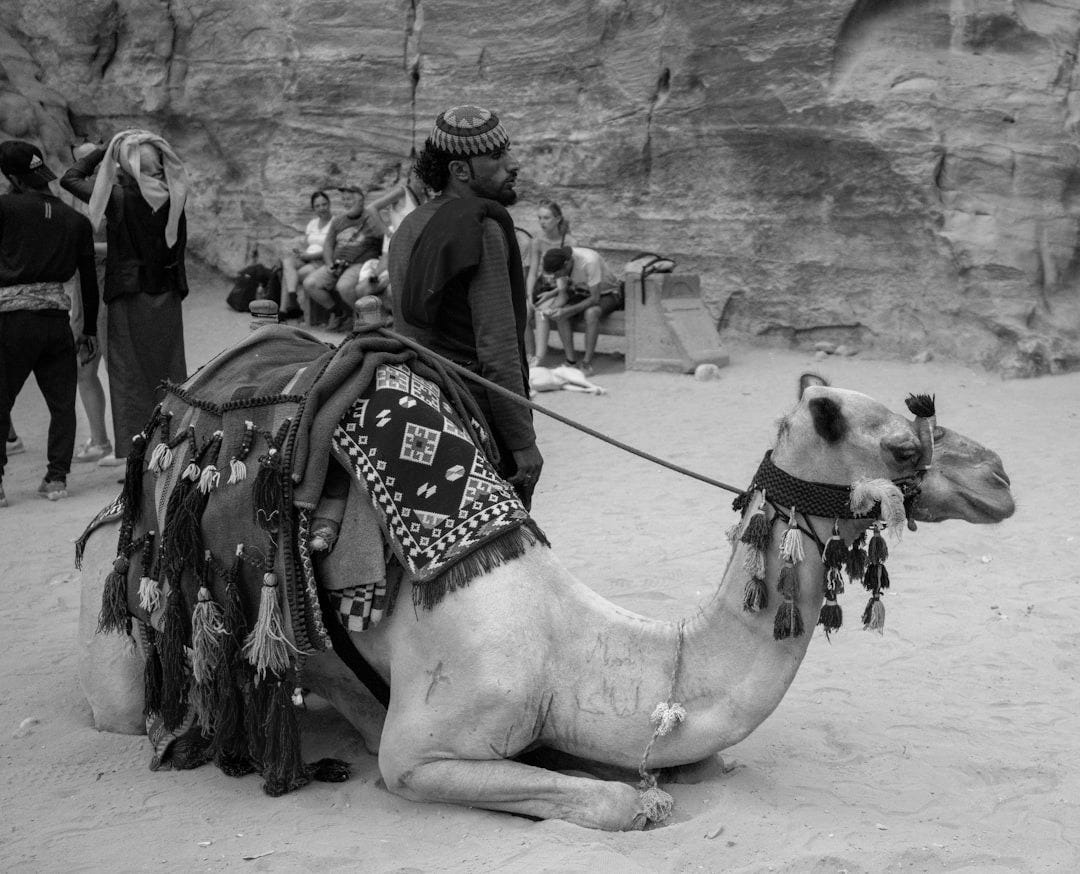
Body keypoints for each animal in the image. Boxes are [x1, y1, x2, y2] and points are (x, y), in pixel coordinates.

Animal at [78, 373, 1014, 831]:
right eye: (902, 448)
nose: (1003, 478)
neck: (568, 642)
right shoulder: (418, 752)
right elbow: (618, 800)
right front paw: (641, 801)